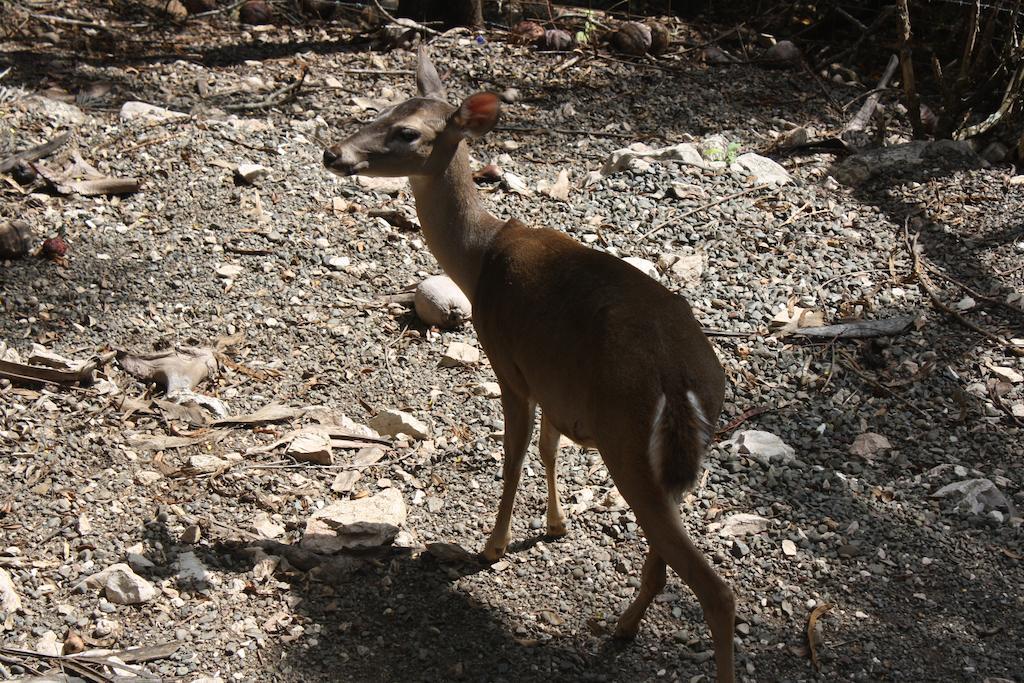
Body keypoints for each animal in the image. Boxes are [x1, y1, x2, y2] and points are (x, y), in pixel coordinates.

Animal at [323, 48, 733, 683]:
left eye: (407, 132)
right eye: (381, 109)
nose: (334, 153)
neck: (480, 257)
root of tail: (682, 382)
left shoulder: (507, 361)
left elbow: (514, 455)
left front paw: (491, 547)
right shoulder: (554, 383)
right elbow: (547, 447)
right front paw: (556, 526)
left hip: (626, 438)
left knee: (715, 589)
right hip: (673, 458)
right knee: (664, 558)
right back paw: (622, 627)